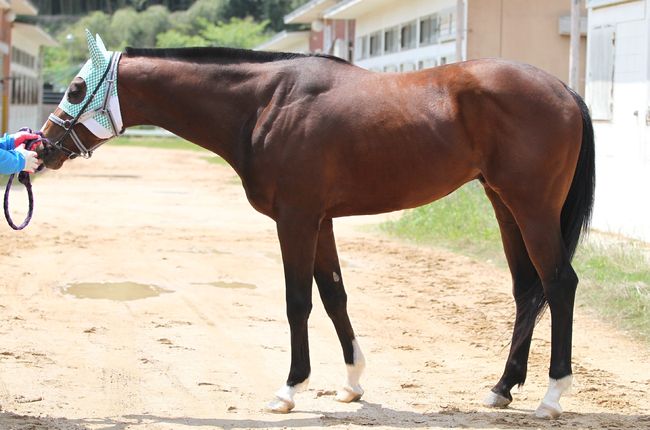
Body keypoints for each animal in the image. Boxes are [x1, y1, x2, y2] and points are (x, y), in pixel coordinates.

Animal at [36, 31, 592, 420]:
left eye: (77, 87)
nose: (42, 147)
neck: (265, 103)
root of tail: (563, 88)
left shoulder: (297, 220)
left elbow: (297, 302)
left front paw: (289, 388)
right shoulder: (321, 221)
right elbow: (334, 296)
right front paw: (351, 383)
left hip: (532, 207)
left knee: (560, 284)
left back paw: (551, 396)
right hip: (504, 205)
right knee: (527, 289)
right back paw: (501, 388)